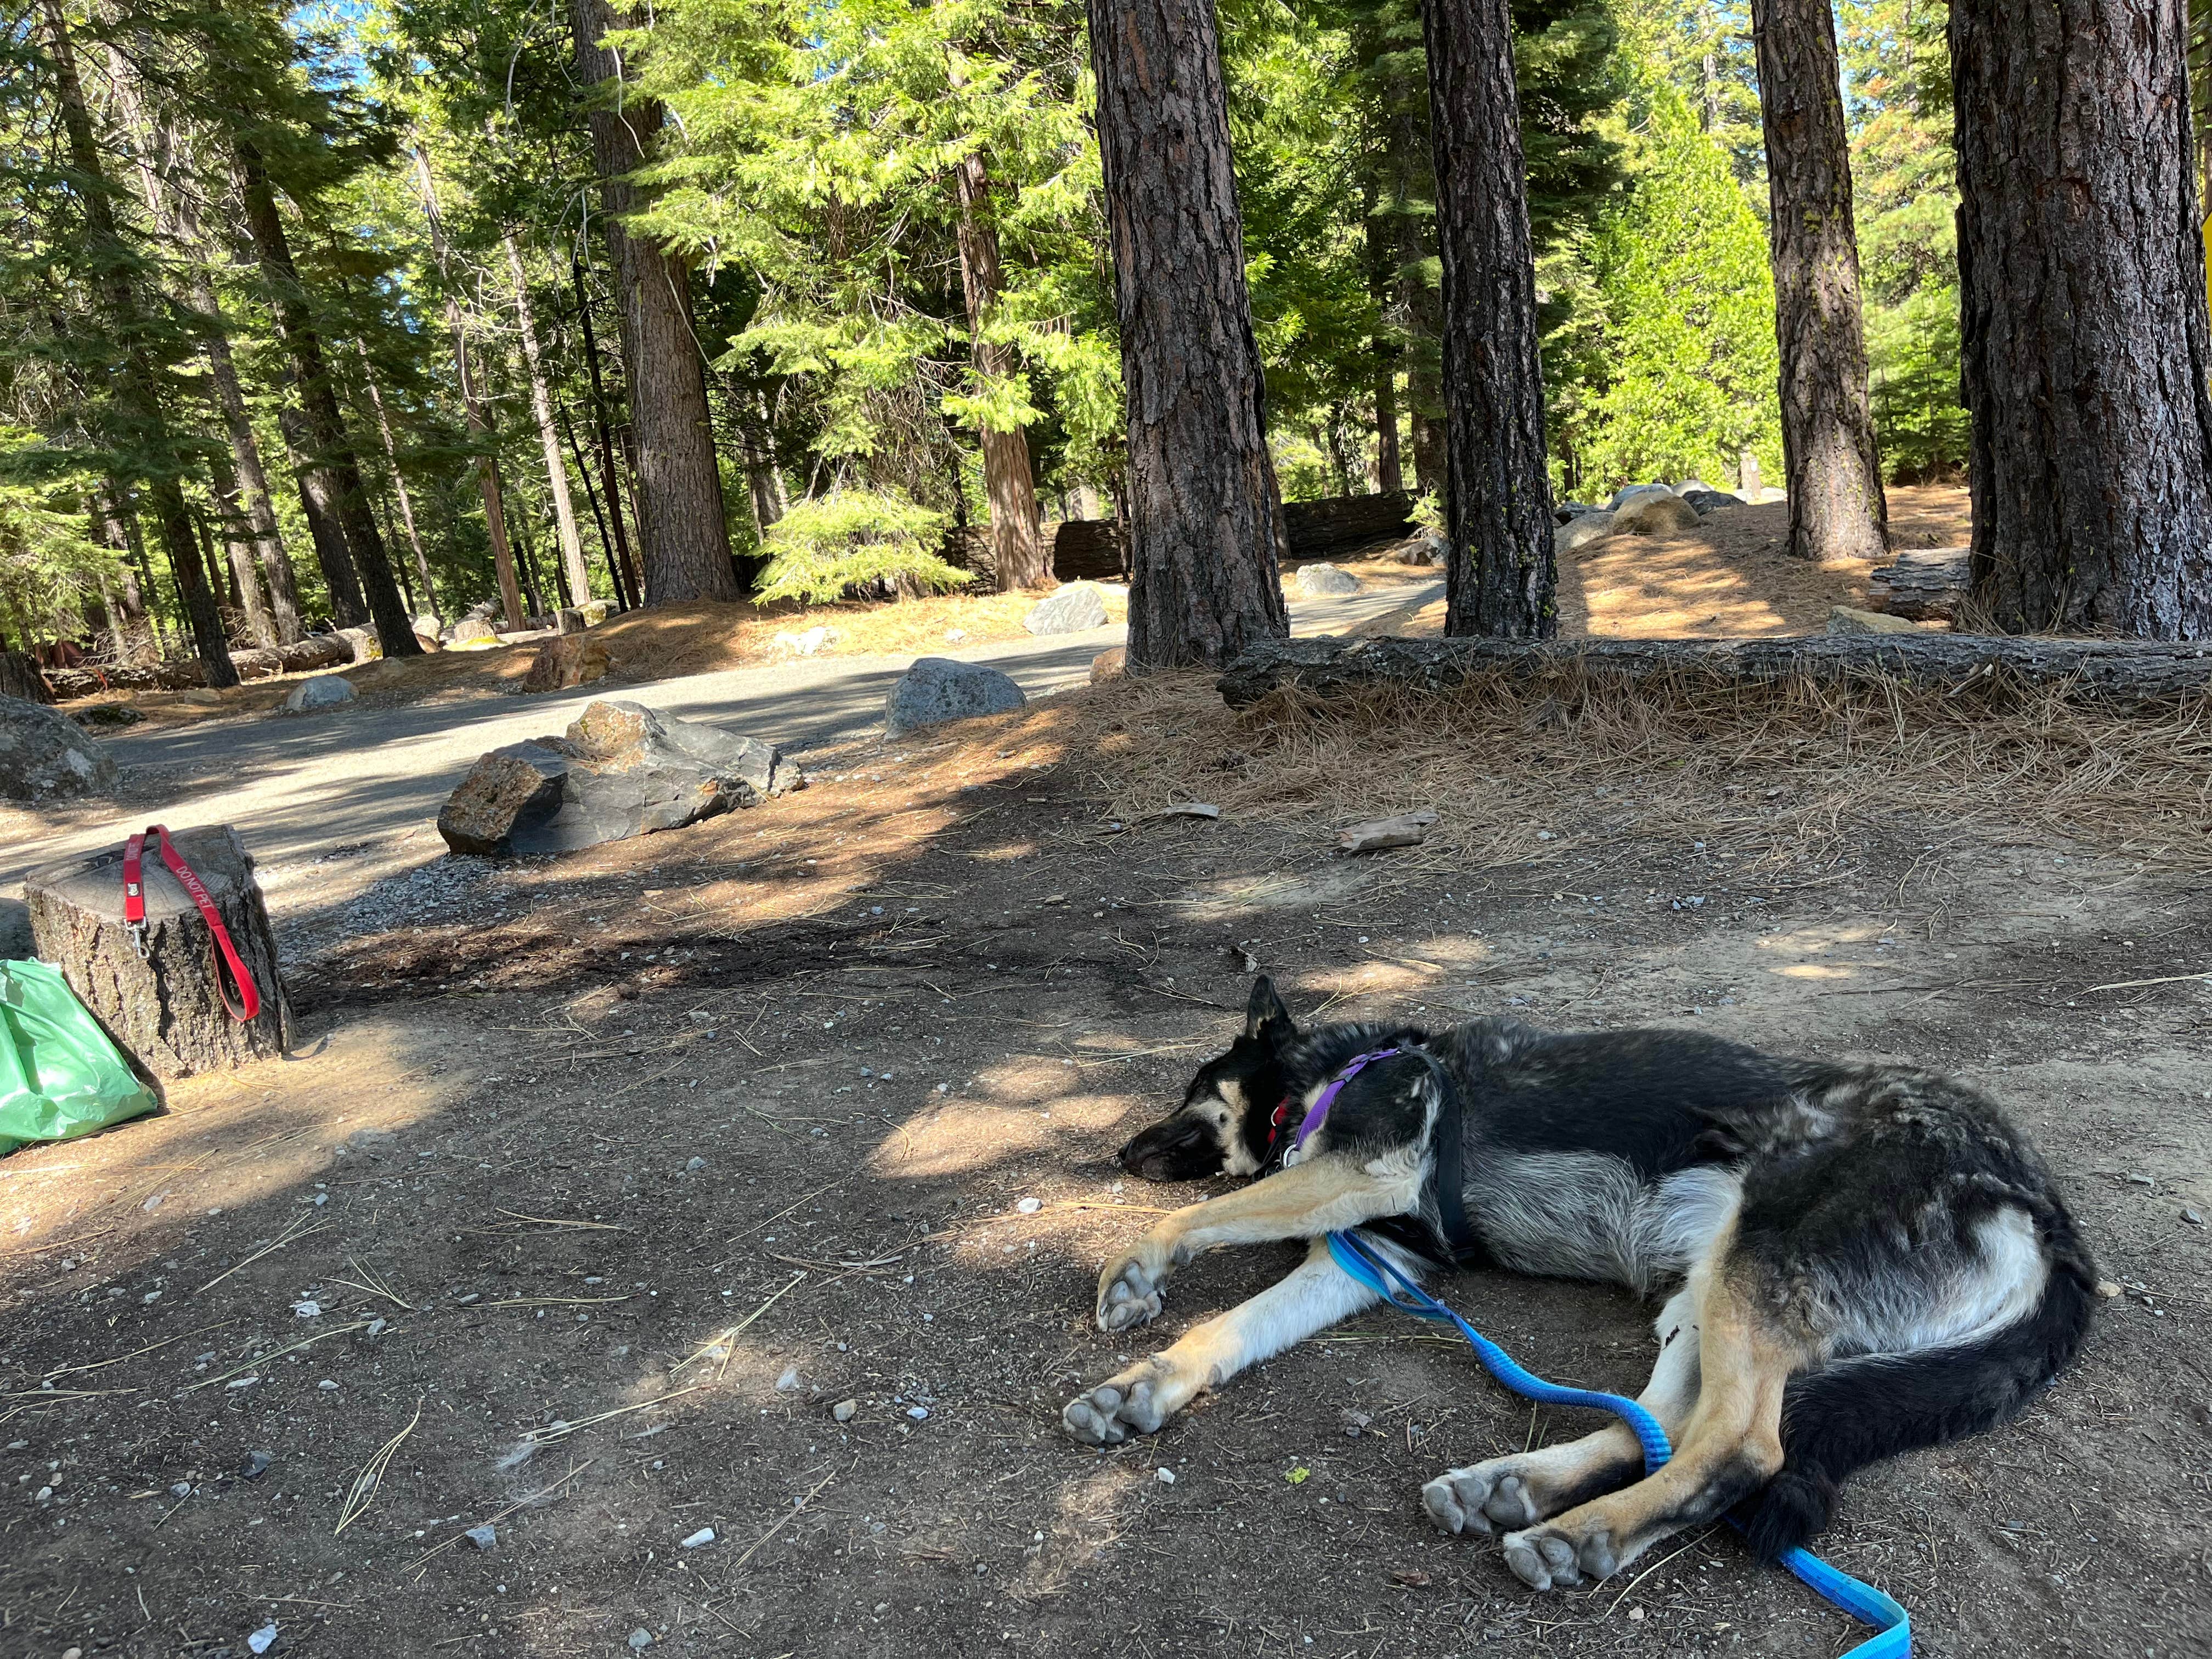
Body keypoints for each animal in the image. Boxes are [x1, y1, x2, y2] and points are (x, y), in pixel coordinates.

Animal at [1063, 977, 2095, 1591]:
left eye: (1190, 1090)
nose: (1117, 1152)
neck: (1336, 1070)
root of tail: (2036, 1197)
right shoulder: (1361, 1260)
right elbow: (1223, 1330)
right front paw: (1138, 1388)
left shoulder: (1365, 1174)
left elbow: (1198, 1219)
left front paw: (1137, 1267)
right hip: (1702, 1291)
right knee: (1667, 1421)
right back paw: (1514, 1487)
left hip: (1750, 1274)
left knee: (1739, 1445)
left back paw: (1584, 1532)